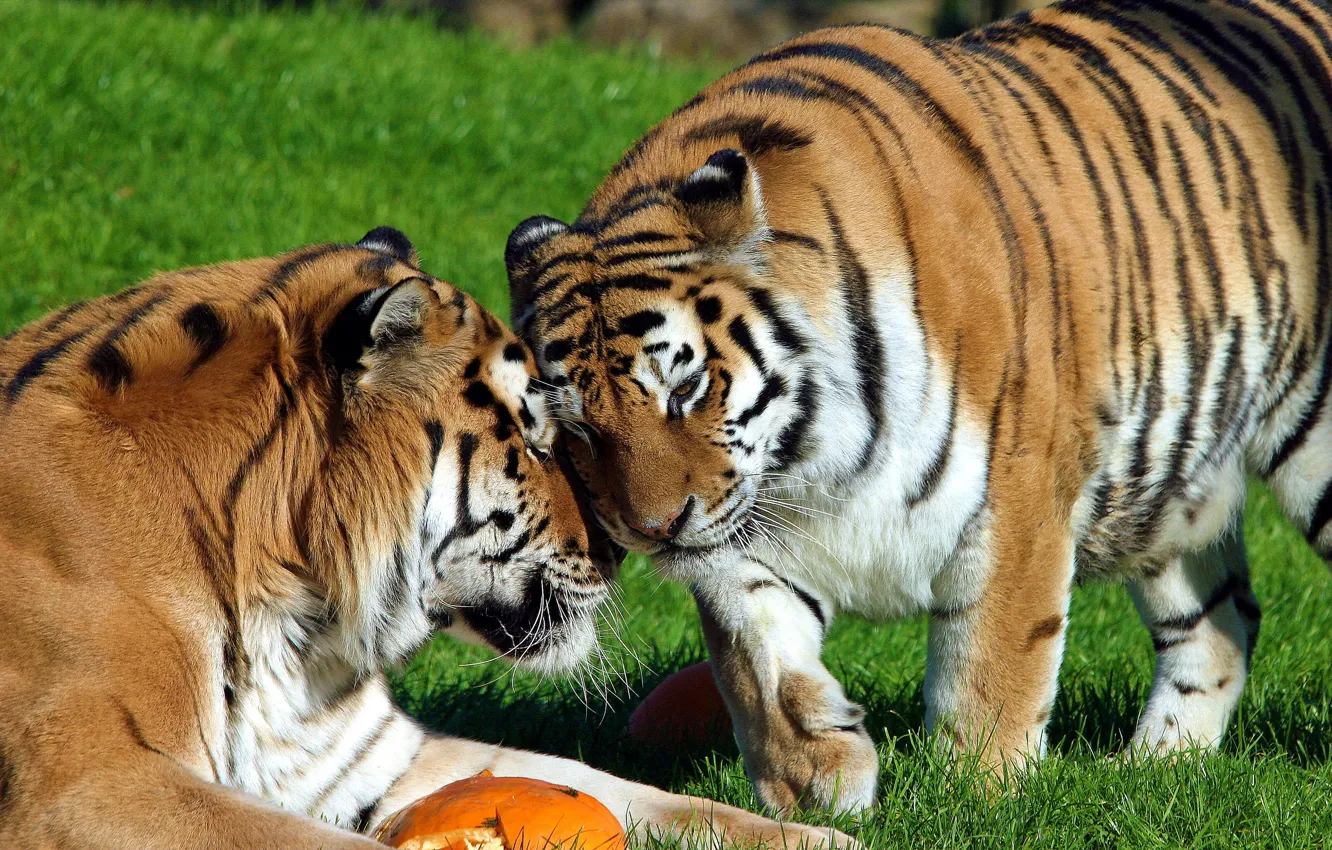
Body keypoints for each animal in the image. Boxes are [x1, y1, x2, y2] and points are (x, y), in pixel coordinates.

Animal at [0, 228, 850, 849]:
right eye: (532, 436)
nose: (621, 549)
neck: (290, 609)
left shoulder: (370, 758)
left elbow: (613, 787)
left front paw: (821, 838)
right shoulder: (86, 781)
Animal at [504, 0, 1332, 815]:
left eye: (684, 389)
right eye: (576, 427)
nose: (650, 530)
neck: (810, 456)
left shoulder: (1016, 497)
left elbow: (991, 667)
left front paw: (977, 796)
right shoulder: (742, 533)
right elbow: (756, 654)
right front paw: (814, 774)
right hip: (1168, 492)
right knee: (1220, 626)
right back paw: (1153, 770)